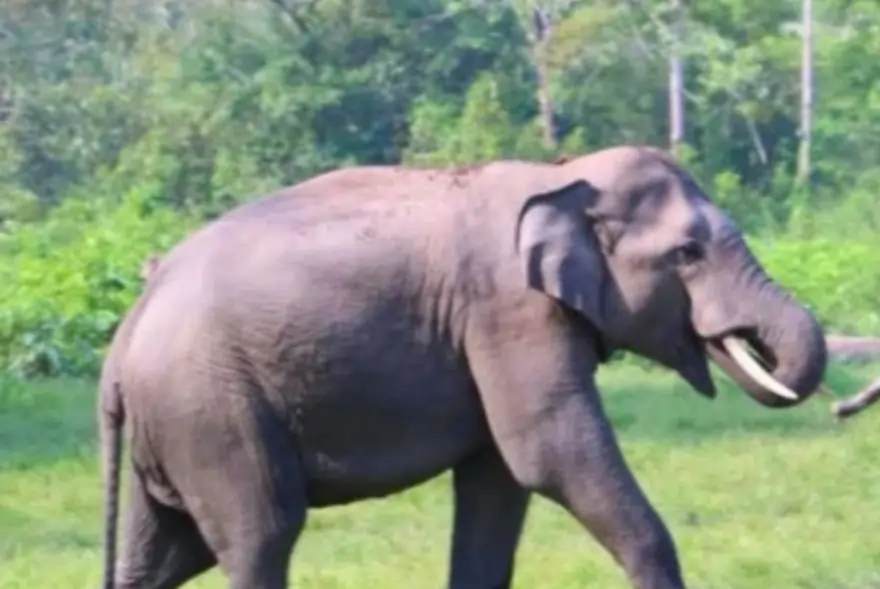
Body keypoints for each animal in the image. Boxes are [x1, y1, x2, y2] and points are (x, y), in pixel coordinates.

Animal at [98, 145, 828, 589]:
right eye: (687, 253)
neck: (560, 175)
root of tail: (124, 336)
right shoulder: (507, 311)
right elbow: (549, 454)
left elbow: (499, 483)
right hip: (213, 413)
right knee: (260, 536)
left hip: (178, 425)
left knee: (165, 553)